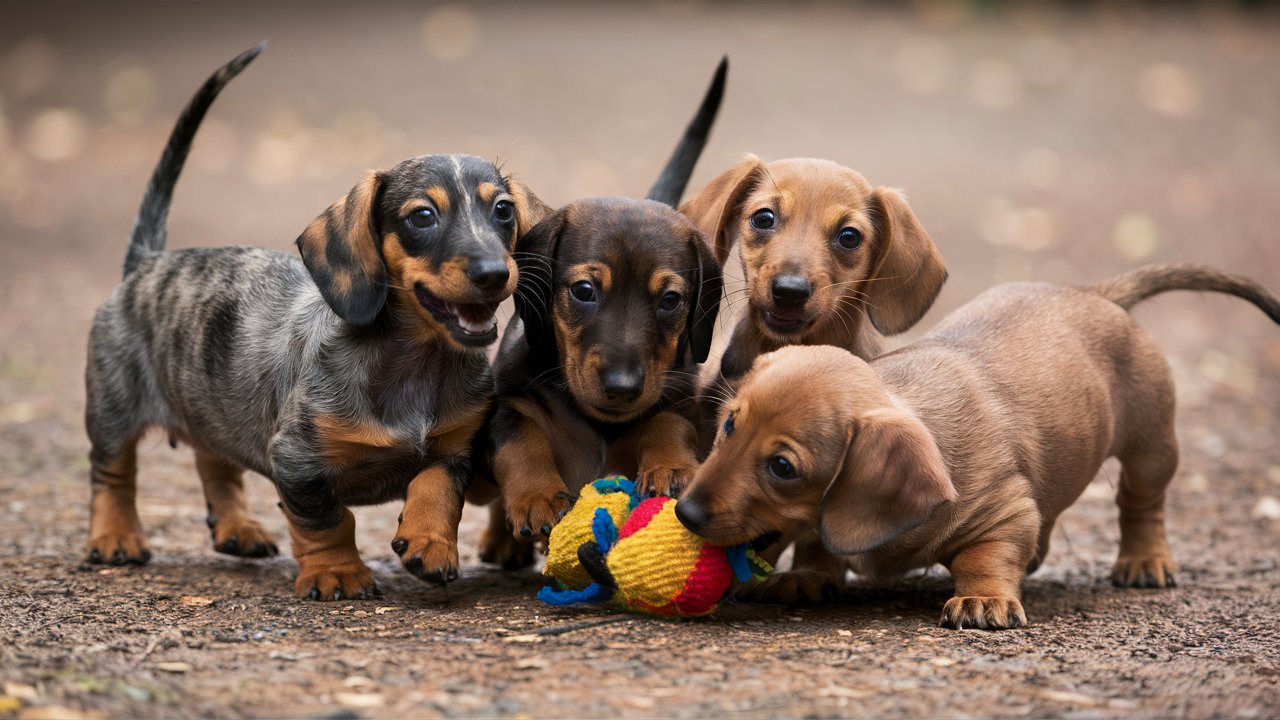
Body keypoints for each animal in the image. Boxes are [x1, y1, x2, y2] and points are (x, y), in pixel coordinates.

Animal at [473, 58, 732, 568]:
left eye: (670, 300)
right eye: (585, 290)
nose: (623, 387)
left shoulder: (679, 398)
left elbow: (667, 422)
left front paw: (670, 466)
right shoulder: (509, 403)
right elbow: (522, 442)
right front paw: (536, 497)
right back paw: (503, 542)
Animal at [675, 265, 1274, 627]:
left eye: (782, 467)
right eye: (728, 427)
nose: (684, 512)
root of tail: (1095, 295)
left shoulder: (1003, 512)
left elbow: (985, 556)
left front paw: (984, 598)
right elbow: (818, 542)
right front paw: (807, 575)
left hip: (1152, 446)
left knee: (1141, 504)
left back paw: (1144, 560)